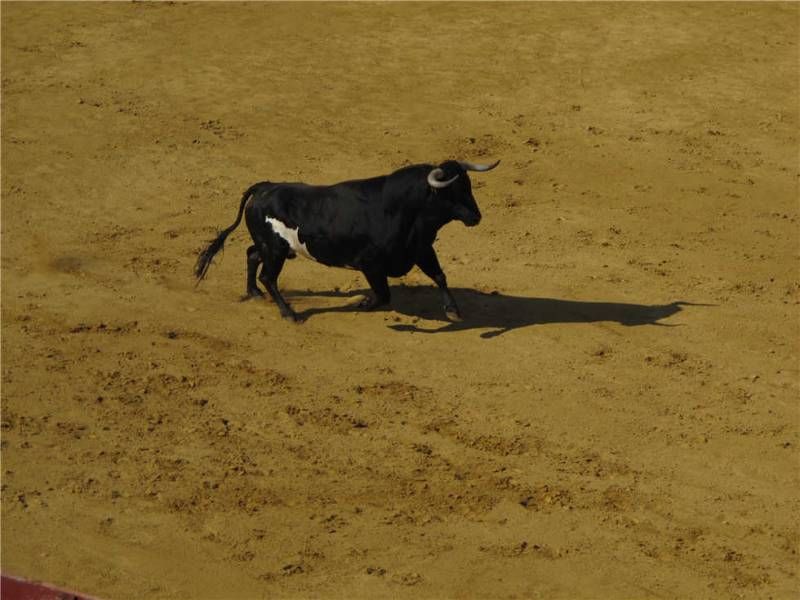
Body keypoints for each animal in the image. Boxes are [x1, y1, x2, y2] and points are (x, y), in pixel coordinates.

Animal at [195, 158, 500, 318]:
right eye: (452, 191)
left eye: (469, 186)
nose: (476, 217)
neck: (401, 209)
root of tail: (264, 188)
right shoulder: (371, 264)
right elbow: (383, 294)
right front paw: (362, 303)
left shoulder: (421, 249)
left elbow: (439, 276)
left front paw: (452, 310)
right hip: (275, 250)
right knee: (268, 276)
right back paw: (290, 313)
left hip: (272, 247)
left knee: (251, 256)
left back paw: (254, 293)